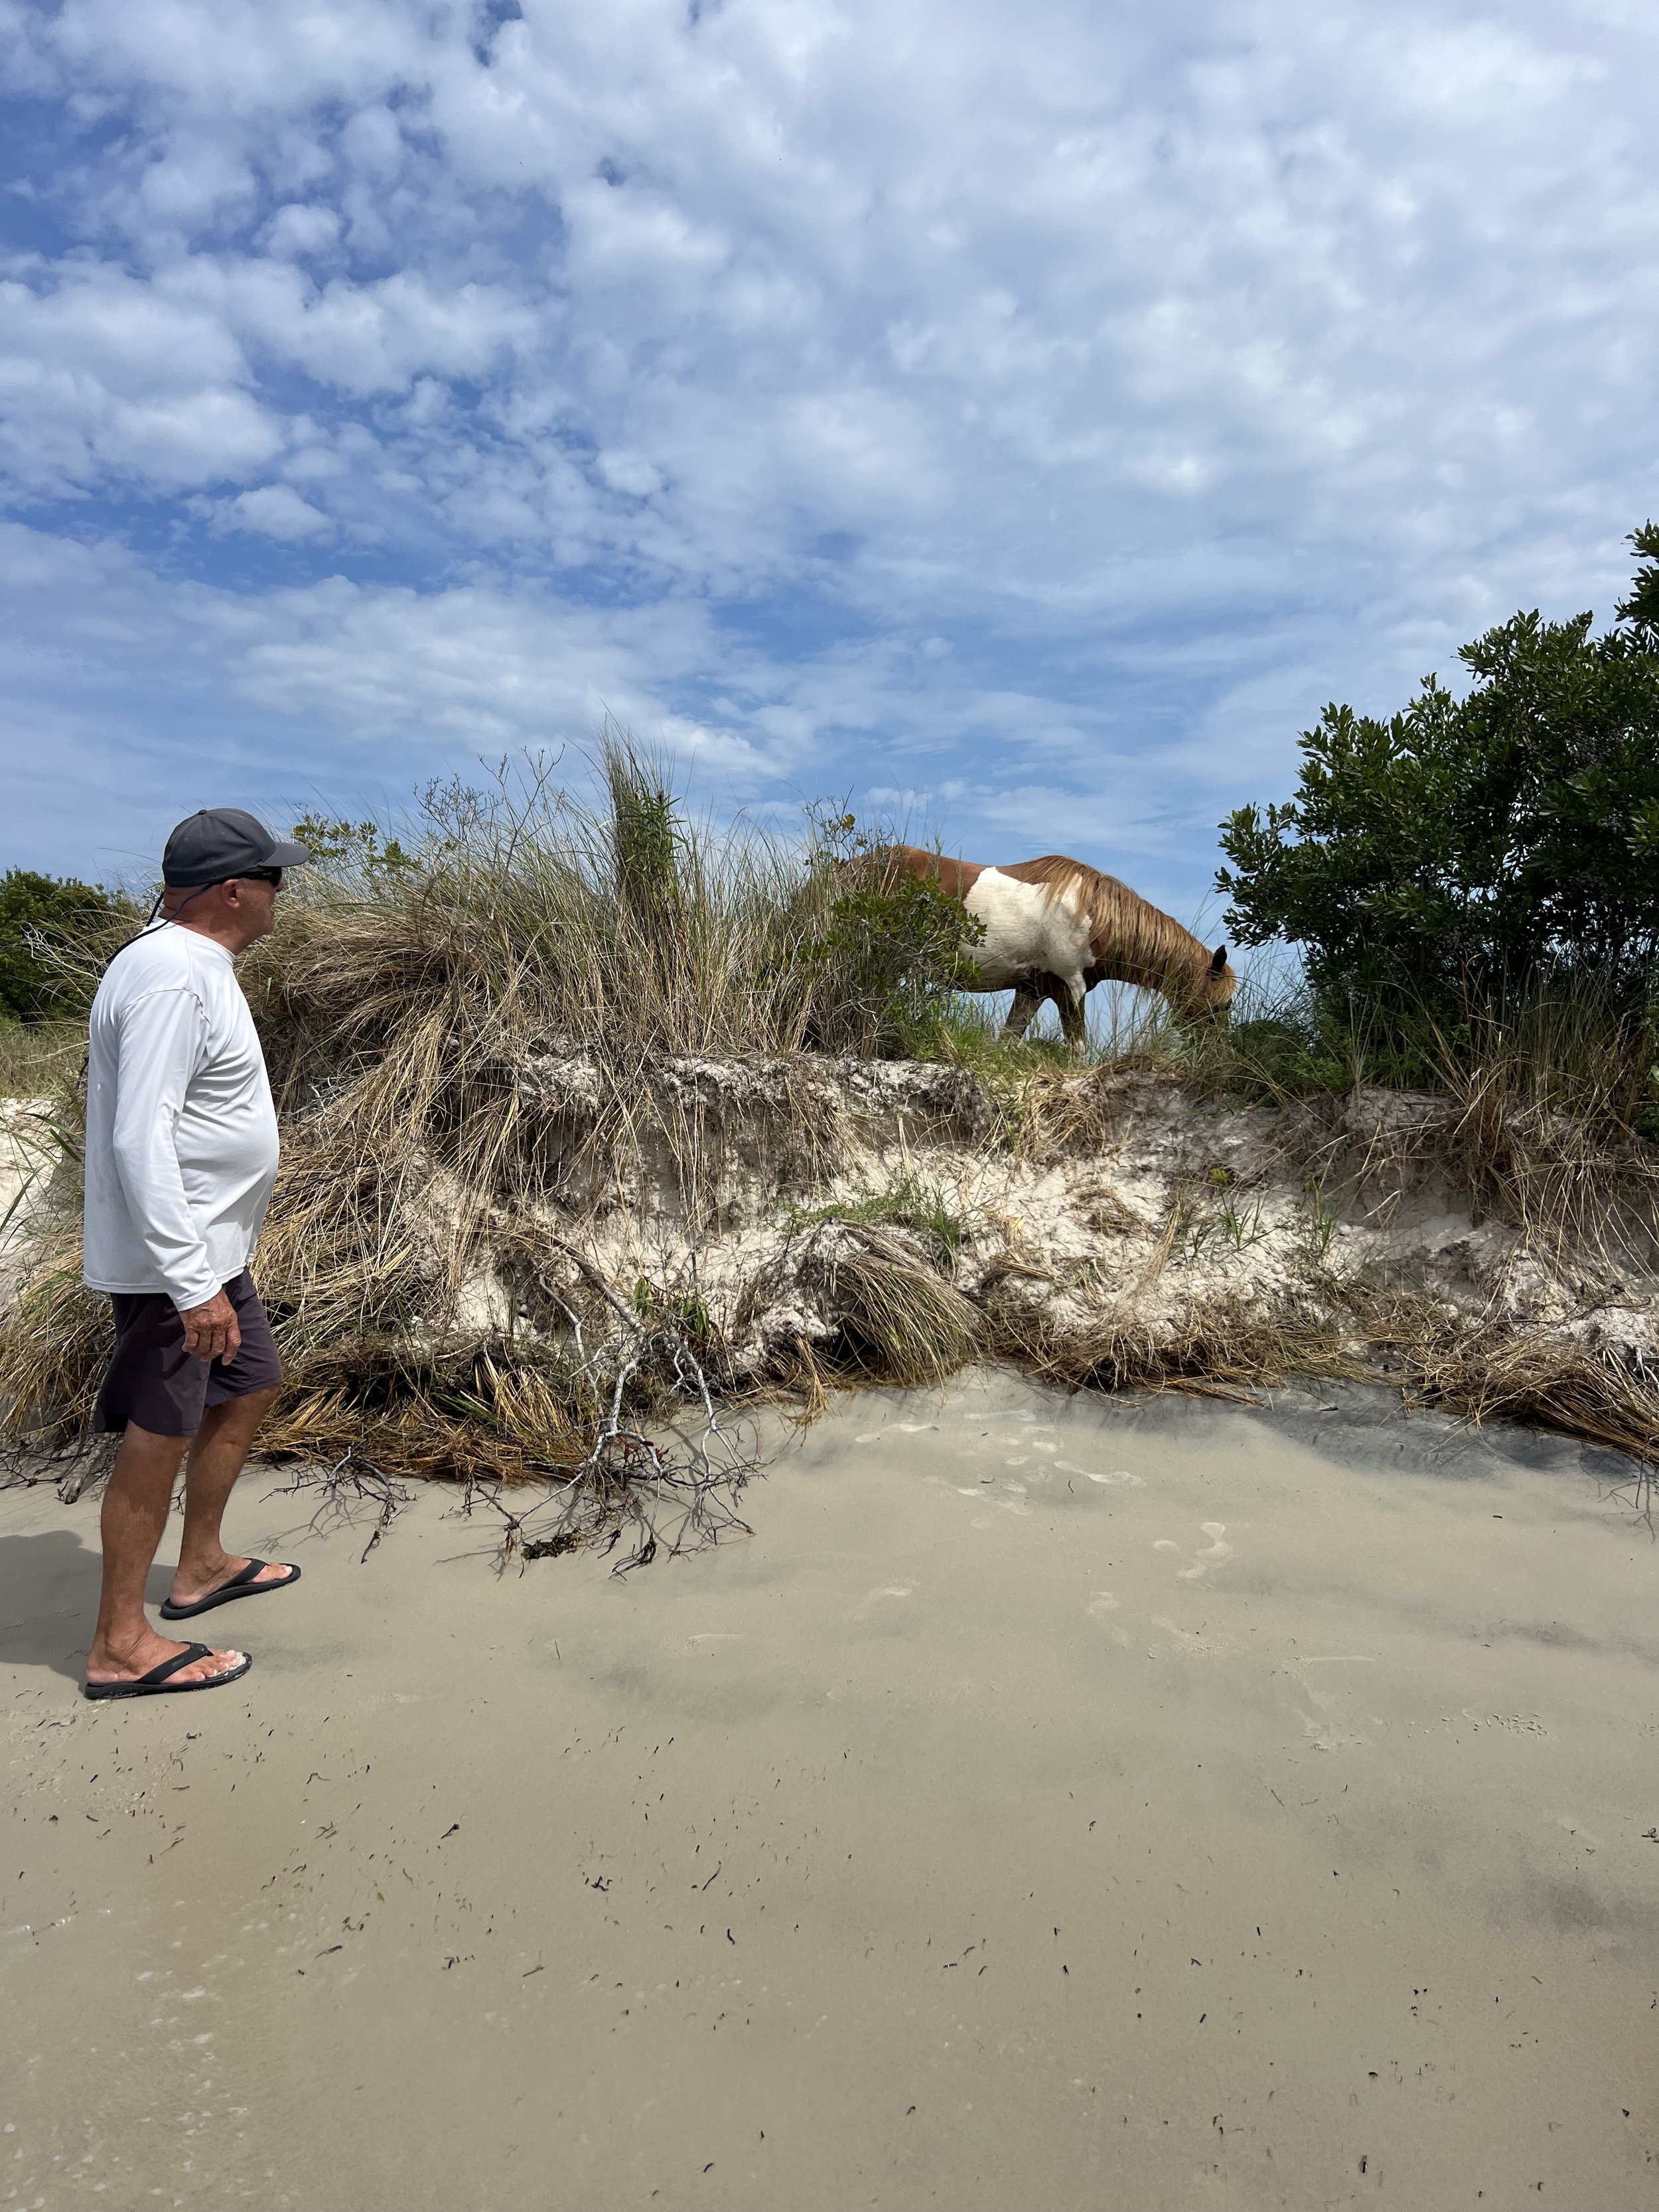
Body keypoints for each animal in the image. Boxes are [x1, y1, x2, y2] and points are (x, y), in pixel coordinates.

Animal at [881, 844, 1236, 1044]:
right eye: (1223, 1006)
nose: (1216, 1053)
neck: (1094, 915)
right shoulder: (1070, 989)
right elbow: (1077, 1051)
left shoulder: (1032, 990)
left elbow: (1007, 1041)